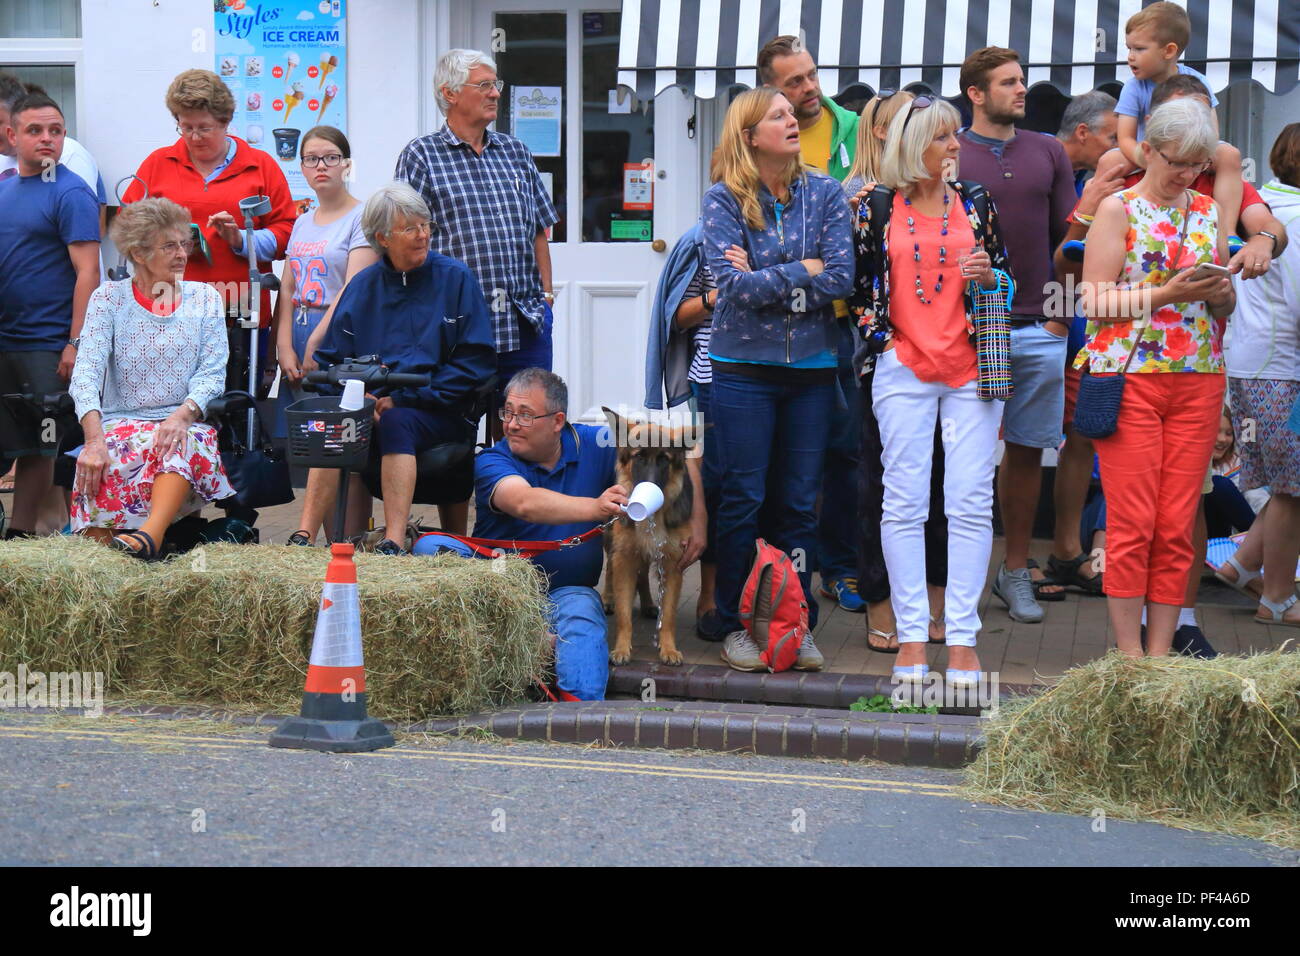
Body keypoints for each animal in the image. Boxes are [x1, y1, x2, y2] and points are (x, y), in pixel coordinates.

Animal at [598, 408, 702, 665]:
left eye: (664, 459)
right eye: (639, 457)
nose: (650, 485)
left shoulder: (673, 563)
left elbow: (669, 615)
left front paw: (668, 648)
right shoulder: (624, 556)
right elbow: (624, 613)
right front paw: (621, 649)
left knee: (643, 574)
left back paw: (647, 603)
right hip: (612, 540)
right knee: (611, 567)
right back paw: (608, 598)